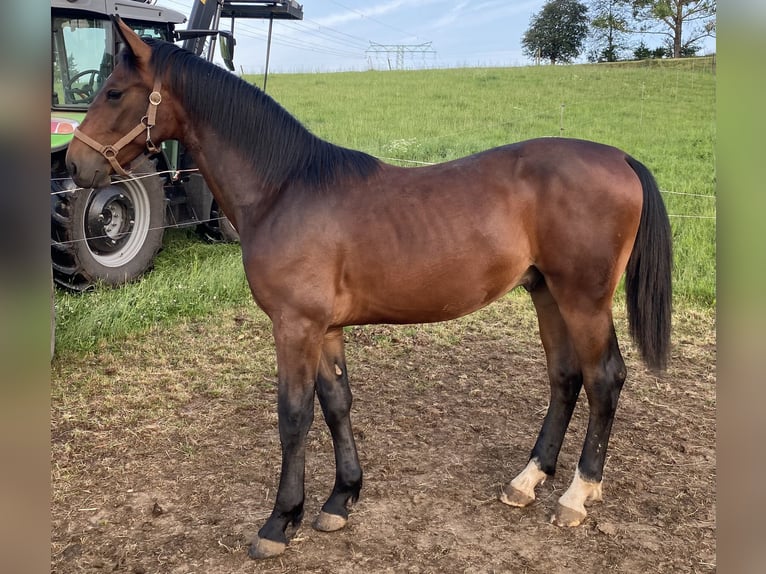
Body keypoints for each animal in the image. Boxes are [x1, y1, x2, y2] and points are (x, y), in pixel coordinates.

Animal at [66, 17, 672, 560]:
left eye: (114, 92)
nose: (74, 164)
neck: (285, 188)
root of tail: (619, 157)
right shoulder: (327, 328)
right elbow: (337, 404)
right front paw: (341, 499)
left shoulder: (295, 327)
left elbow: (293, 417)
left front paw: (280, 522)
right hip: (546, 293)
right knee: (565, 378)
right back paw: (527, 480)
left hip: (584, 300)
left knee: (603, 379)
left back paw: (577, 493)